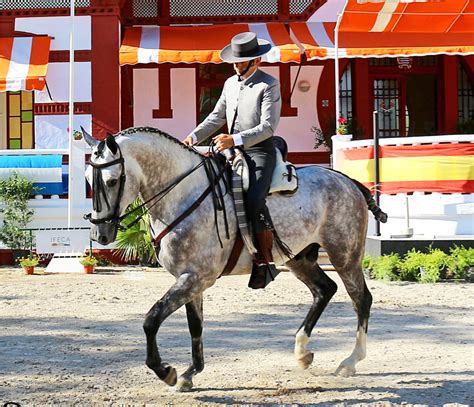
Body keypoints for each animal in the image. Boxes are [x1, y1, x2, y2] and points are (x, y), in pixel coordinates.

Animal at [84, 126, 374, 392]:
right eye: (88, 179)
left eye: (111, 181)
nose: (100, 234)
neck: (184, 194)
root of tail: (347, 181)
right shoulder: (190, 279)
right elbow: (195, 326)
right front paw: (190, 373)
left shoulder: (196, 278)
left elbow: (151, 319)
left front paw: (166, 371)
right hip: (299, 259)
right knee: (325, 289)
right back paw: (303, 353)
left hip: (344, 255)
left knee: (360, 299)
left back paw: (350, 361)